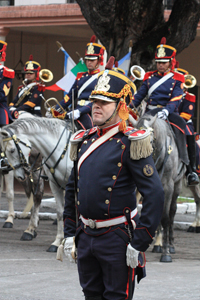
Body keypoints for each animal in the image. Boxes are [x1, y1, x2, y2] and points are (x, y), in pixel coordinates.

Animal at [0, 117, 73, 251]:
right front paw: (58, 241)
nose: (19, 175)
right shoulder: (55, 185)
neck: (62, 150)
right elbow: (60, 212)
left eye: (12, 150)